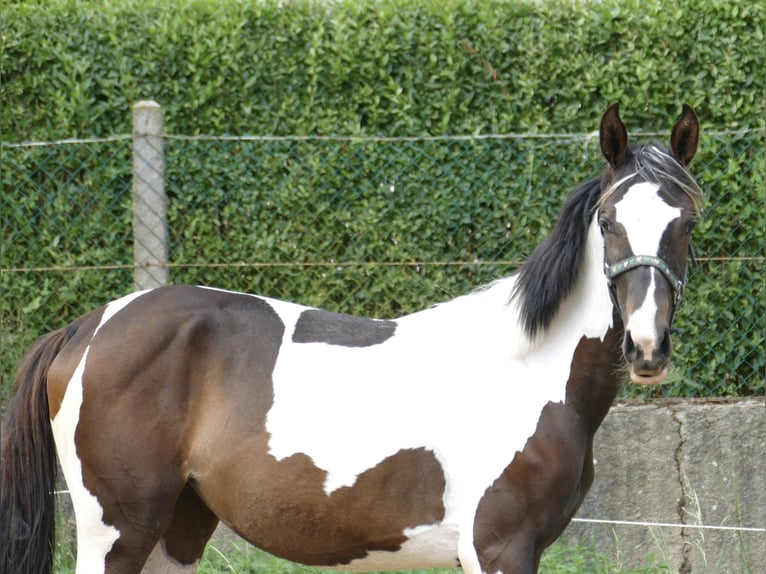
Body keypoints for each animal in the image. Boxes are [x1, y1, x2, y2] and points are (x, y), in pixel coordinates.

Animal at [0, 104, 704, 574]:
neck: (531, 371)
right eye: (608, 221)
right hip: (116, 532)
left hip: (175, 530)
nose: (646, 347)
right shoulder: (499, 548)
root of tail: (85, 328)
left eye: (687, 222)